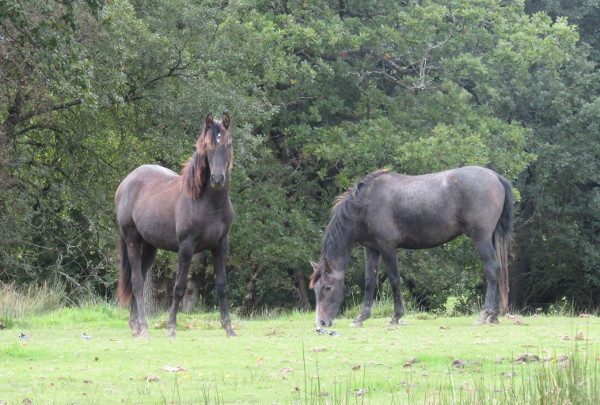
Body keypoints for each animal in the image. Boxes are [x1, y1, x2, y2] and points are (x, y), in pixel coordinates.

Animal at [113, 112, 236, 336]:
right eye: (208, 147)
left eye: (228, 144)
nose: (217, 179)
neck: (207, 203)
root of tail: (126, 182)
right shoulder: (186, 248)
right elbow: (179, 287)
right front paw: (171, 327)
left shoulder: (221, 245)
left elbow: (222, 285)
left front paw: (229, 328)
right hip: (132, 239)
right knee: (137, 282)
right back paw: (143, 327)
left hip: (150, 246)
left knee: (141, 276)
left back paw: (135, 326)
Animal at [312, 166, 512, 328]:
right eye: (315, 289)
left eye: (328, 287)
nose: (321, 323)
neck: (366, 203)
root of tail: (495, 176)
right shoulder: (372, 249)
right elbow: (370, 282)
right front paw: (361, 318)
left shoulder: (388, 248)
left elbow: (394, 280)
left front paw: (396, 316)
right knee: (498, 270)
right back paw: (494, 316)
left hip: (481, 238)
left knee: (492, 269)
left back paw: (485, 314)